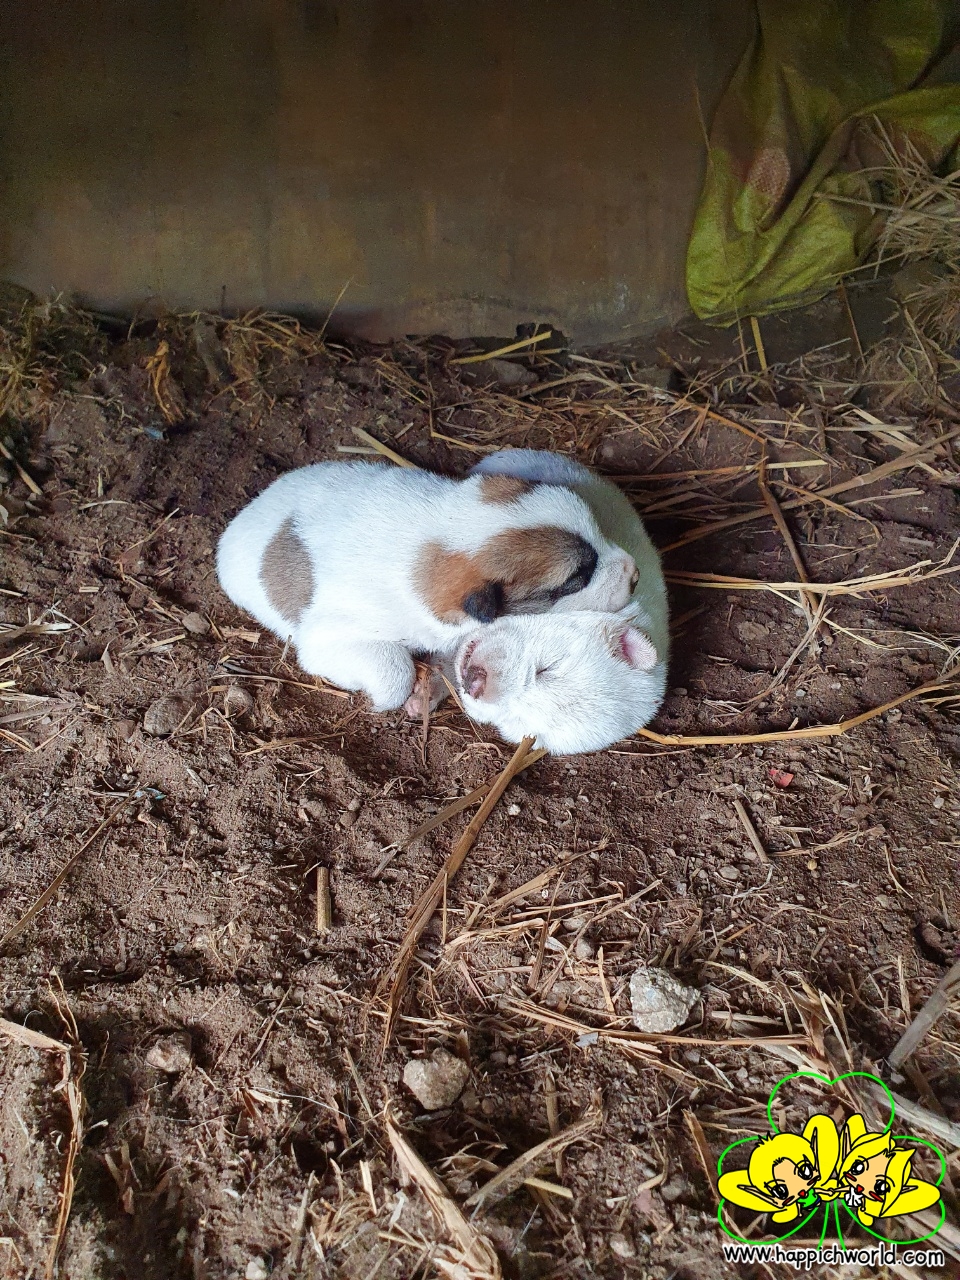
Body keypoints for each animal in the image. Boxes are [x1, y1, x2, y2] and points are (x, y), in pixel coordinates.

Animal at [216, 460, 638, 711]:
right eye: (576, 579)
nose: (634, 575)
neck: (445, 534)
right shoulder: (331, 635)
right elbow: (394, 669)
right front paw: (387, 698)